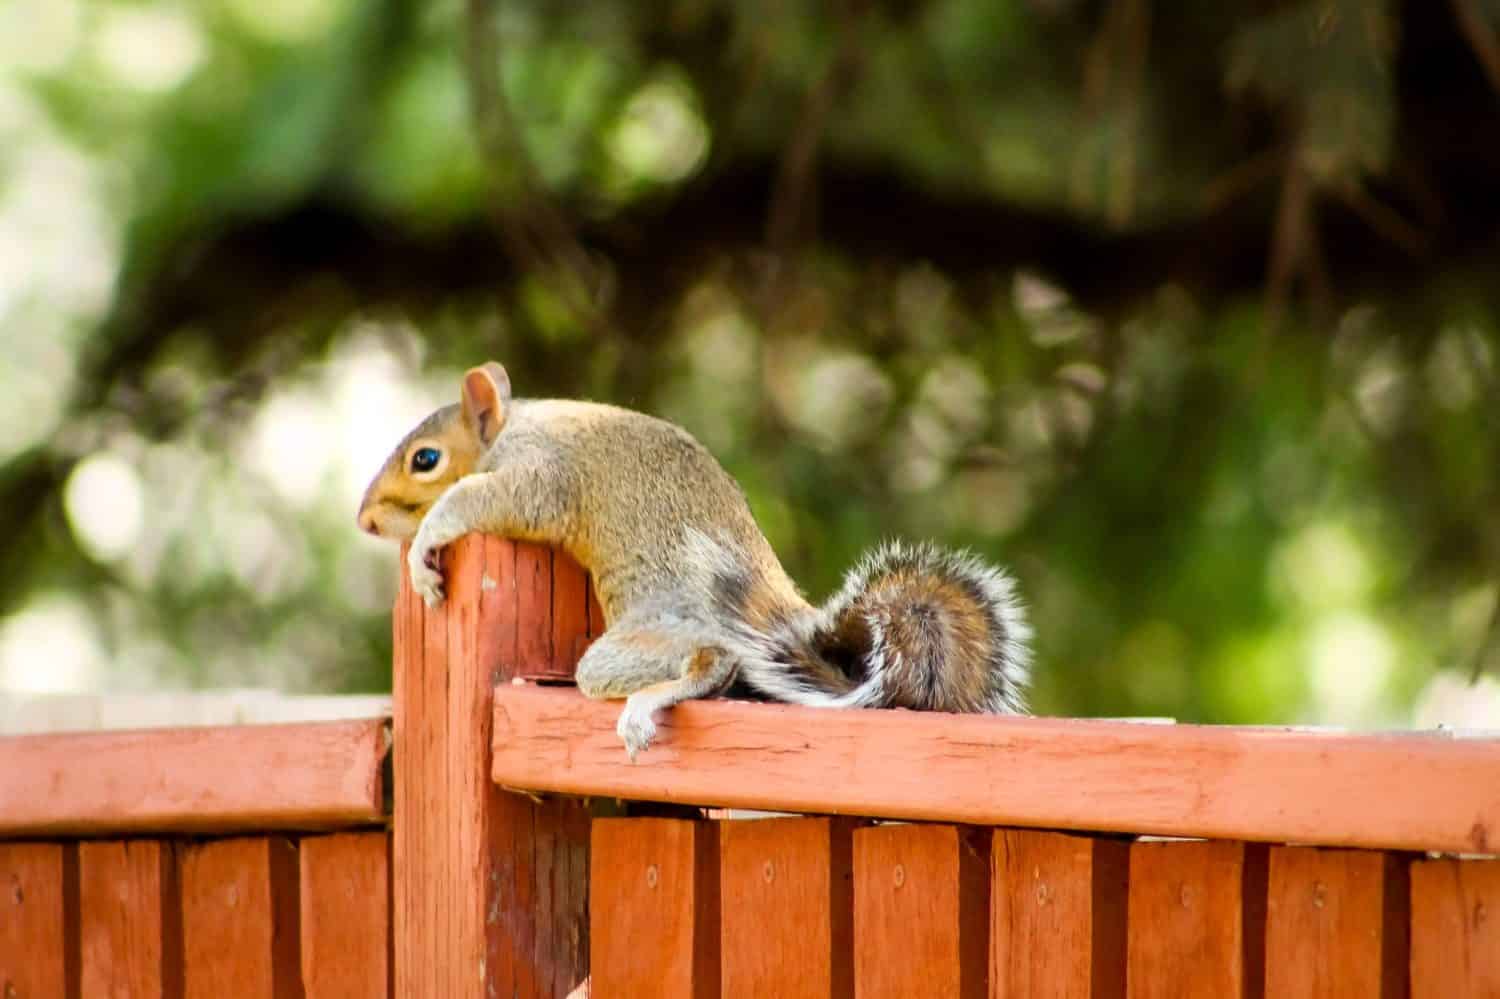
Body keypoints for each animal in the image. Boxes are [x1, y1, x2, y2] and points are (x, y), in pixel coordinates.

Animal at [355, 360, 1032, 756]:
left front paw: (423, 549)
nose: (365, 521)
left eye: (425, 459)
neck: (513, 426)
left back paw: (652, 701)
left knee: (713, 665)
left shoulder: (541, 474)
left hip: (646, 643)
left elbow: (482, 500)